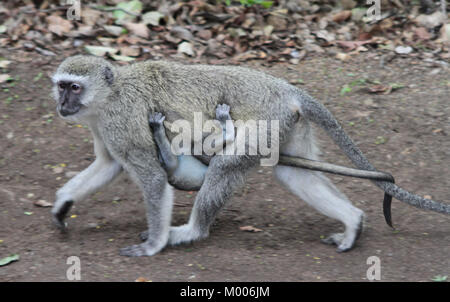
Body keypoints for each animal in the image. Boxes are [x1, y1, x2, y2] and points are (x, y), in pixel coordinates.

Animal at [51, 55, 448, 256]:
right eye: (61, 86)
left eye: (75, 87)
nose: (62, 104)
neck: (110, 94)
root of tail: (286, 89)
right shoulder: (102, 126)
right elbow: (108, 165)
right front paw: (62, 203)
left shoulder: (118, 122)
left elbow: (150, 177)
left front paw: (154, 244)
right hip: (286, 124)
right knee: (293, 174)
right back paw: (352, 223)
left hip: (265, 121)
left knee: (225, 164)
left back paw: (191, 232)